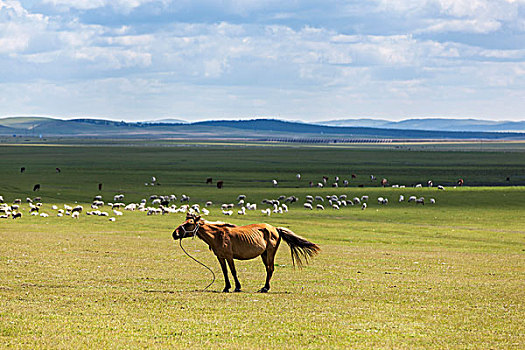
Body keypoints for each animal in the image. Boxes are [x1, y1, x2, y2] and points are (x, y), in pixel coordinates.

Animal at [173, 213, 320, 292]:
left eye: (189, 223)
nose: (175, 234)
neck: (218, 235)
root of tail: (275, 229)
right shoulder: (220, 257)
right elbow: (225, 272)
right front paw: (226, 287)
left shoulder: (229, 256)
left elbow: (233, 271)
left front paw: (237, 287)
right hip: (264, 254)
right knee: (268, 269)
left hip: (270, 253)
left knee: (270, 269)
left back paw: (265, 288)